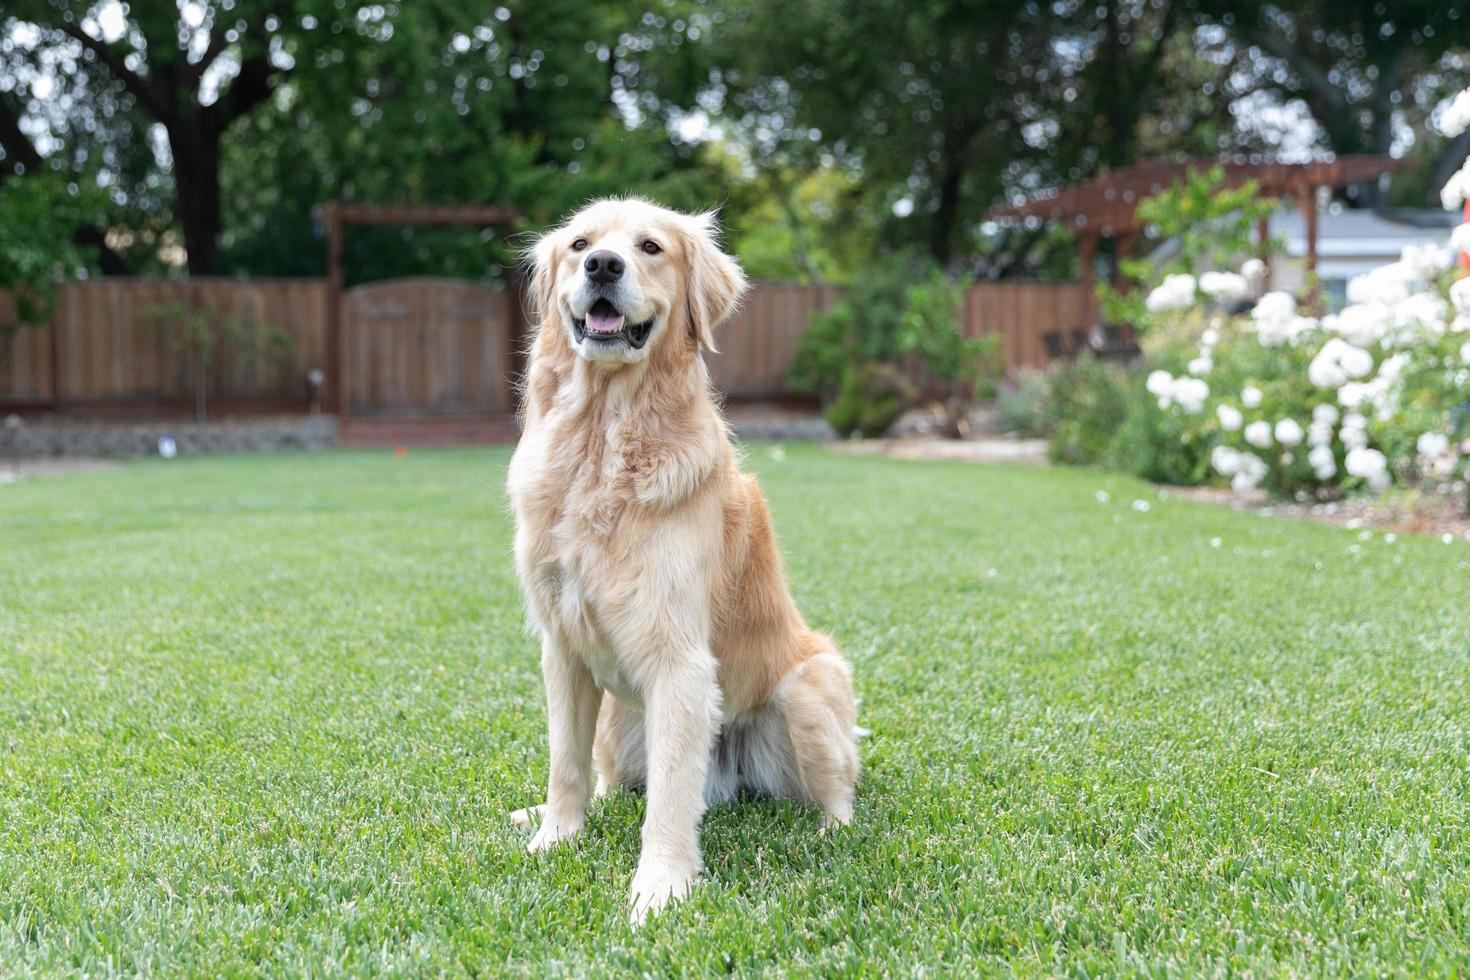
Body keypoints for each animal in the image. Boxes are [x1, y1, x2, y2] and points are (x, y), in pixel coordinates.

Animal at [505, 196, 858, 922]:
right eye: (579, 243)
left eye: (650, 247)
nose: (601, 265)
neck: (600, 439)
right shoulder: (562, 645)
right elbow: (565, 762)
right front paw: (557, 837)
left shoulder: (679, 661)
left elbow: (670, 795)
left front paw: (661, 887)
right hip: (618, 719)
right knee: (610, 781)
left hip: (808, 685)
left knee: (839, 792)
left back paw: (828, 833)